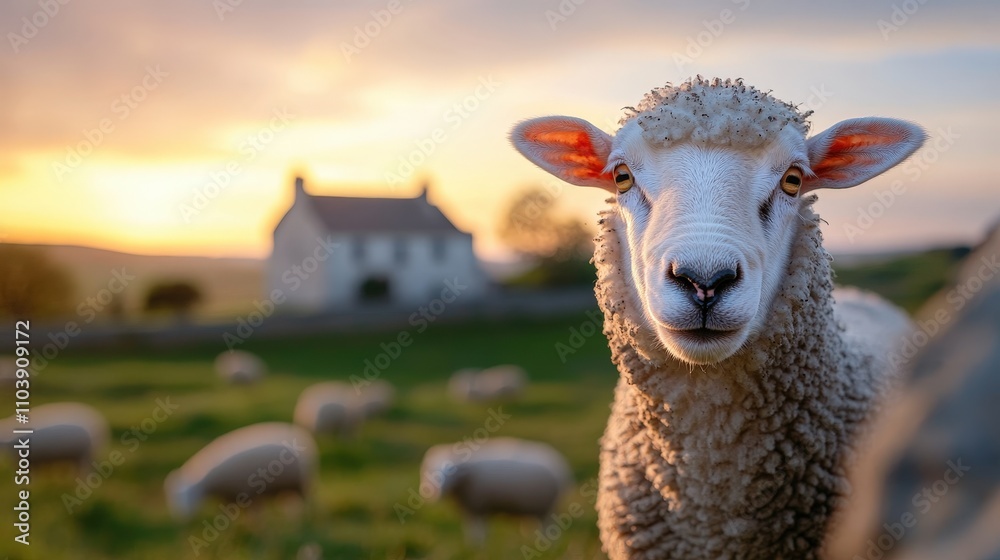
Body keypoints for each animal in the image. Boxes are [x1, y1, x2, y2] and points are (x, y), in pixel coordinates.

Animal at [164, 422, 317, 520]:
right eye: (173, 498)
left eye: (190, 494)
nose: (182, 517)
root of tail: (299, 432)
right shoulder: (233, 498)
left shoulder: (247, 492)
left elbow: (254, 514)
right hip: (289, 485)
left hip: (302, 483)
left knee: (305, 502)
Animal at [420, 437, 572, 544]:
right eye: (431, 469)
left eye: (452, 471)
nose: (433, 491)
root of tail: (561, 465)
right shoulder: (470, 508)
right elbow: (471, 528)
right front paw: (473, 545)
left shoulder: (479, 504)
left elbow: (479, 530)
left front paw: (479, 545)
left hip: (548, 508)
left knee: (549, 530)